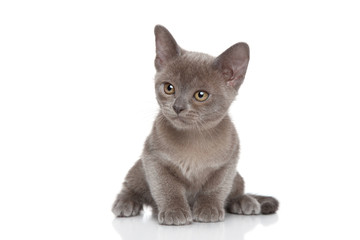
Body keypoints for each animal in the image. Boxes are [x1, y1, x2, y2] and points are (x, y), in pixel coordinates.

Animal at [112, 25, 278, 226]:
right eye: (169, 88)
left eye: (201, 95)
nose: (177, 107)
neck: (194, 138)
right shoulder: (153, 159)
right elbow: (168, 188)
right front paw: (175, 211)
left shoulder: (229, 162)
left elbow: (215, 187)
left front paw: (208, 208)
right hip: (139, 169)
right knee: (130, 185)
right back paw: (125, 202)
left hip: (237, 177)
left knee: (236, 189)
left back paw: (244, 201)